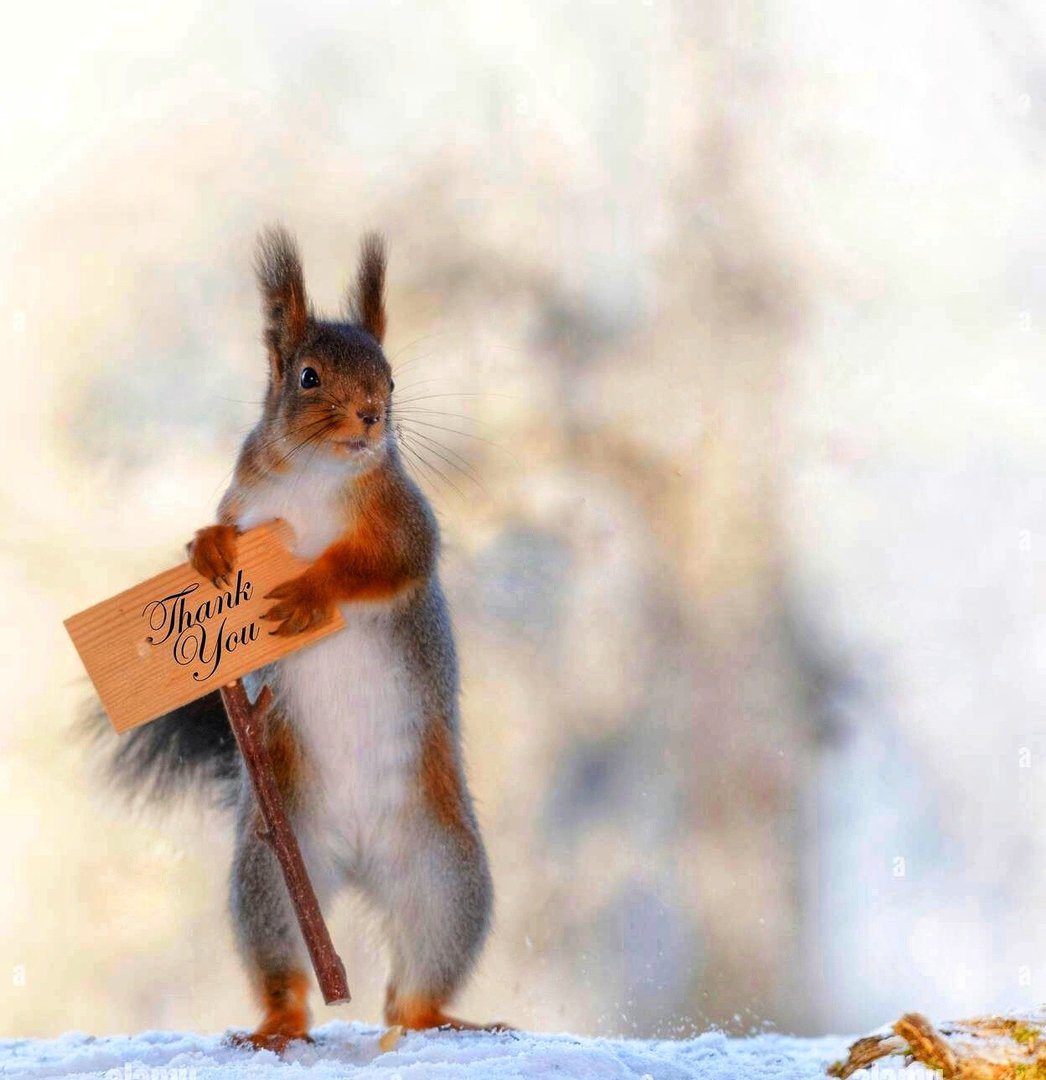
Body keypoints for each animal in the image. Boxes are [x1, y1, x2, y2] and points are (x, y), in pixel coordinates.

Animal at [105, 227, 498, 1045]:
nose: (374, 415)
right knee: (287, 966)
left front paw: (310, 591)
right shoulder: (247, 498)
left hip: (447, 874)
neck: (318, 474)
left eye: (391, 376)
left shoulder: (404, 520)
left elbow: (382, 566)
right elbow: (224, 528)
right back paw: (277, 1028)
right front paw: (208, 550)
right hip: (271, 875)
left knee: (411, 990)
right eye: (309, 377)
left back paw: (443, 1018)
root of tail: (357, 859)